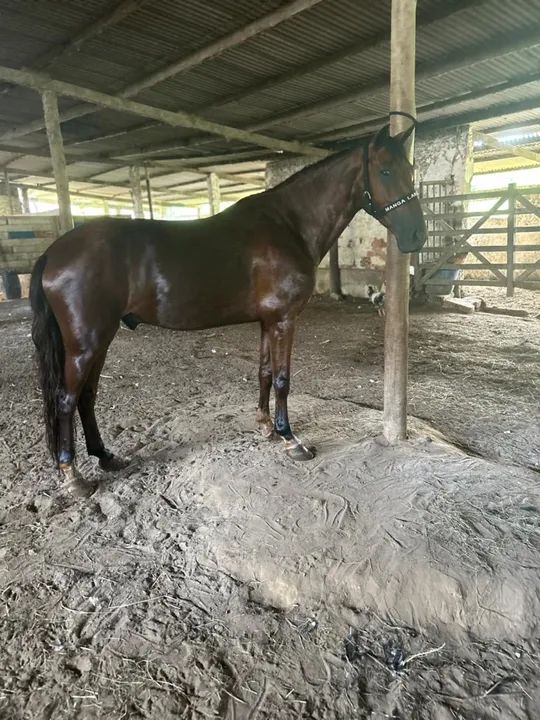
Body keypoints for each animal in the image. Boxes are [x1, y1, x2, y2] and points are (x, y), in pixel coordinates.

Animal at [30, 121, 427, 493]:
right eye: (385, 171)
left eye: (410, 169)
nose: (417, 236)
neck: (289, 225)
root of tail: (53, 253)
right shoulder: (284, 320)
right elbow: (283, 379)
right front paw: (291, 439)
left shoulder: (268, 321)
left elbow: (265, 372)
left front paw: (266, 427)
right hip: (87, 344)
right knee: (66, 399)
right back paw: (73, 476)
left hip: (101, 340)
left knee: (86, 397)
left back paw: (106, 456)